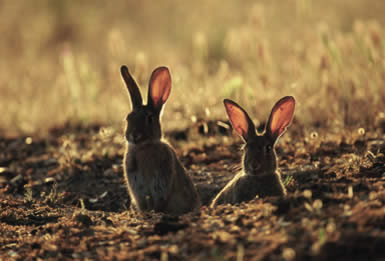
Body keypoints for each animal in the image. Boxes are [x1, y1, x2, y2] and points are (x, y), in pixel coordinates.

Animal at [120, 64, 200, 213]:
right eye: (128, 118)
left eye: (150, 118)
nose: (134, 135)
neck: (144, 147)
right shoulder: (137, 185)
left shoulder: (161, 180)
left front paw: (156, 211)